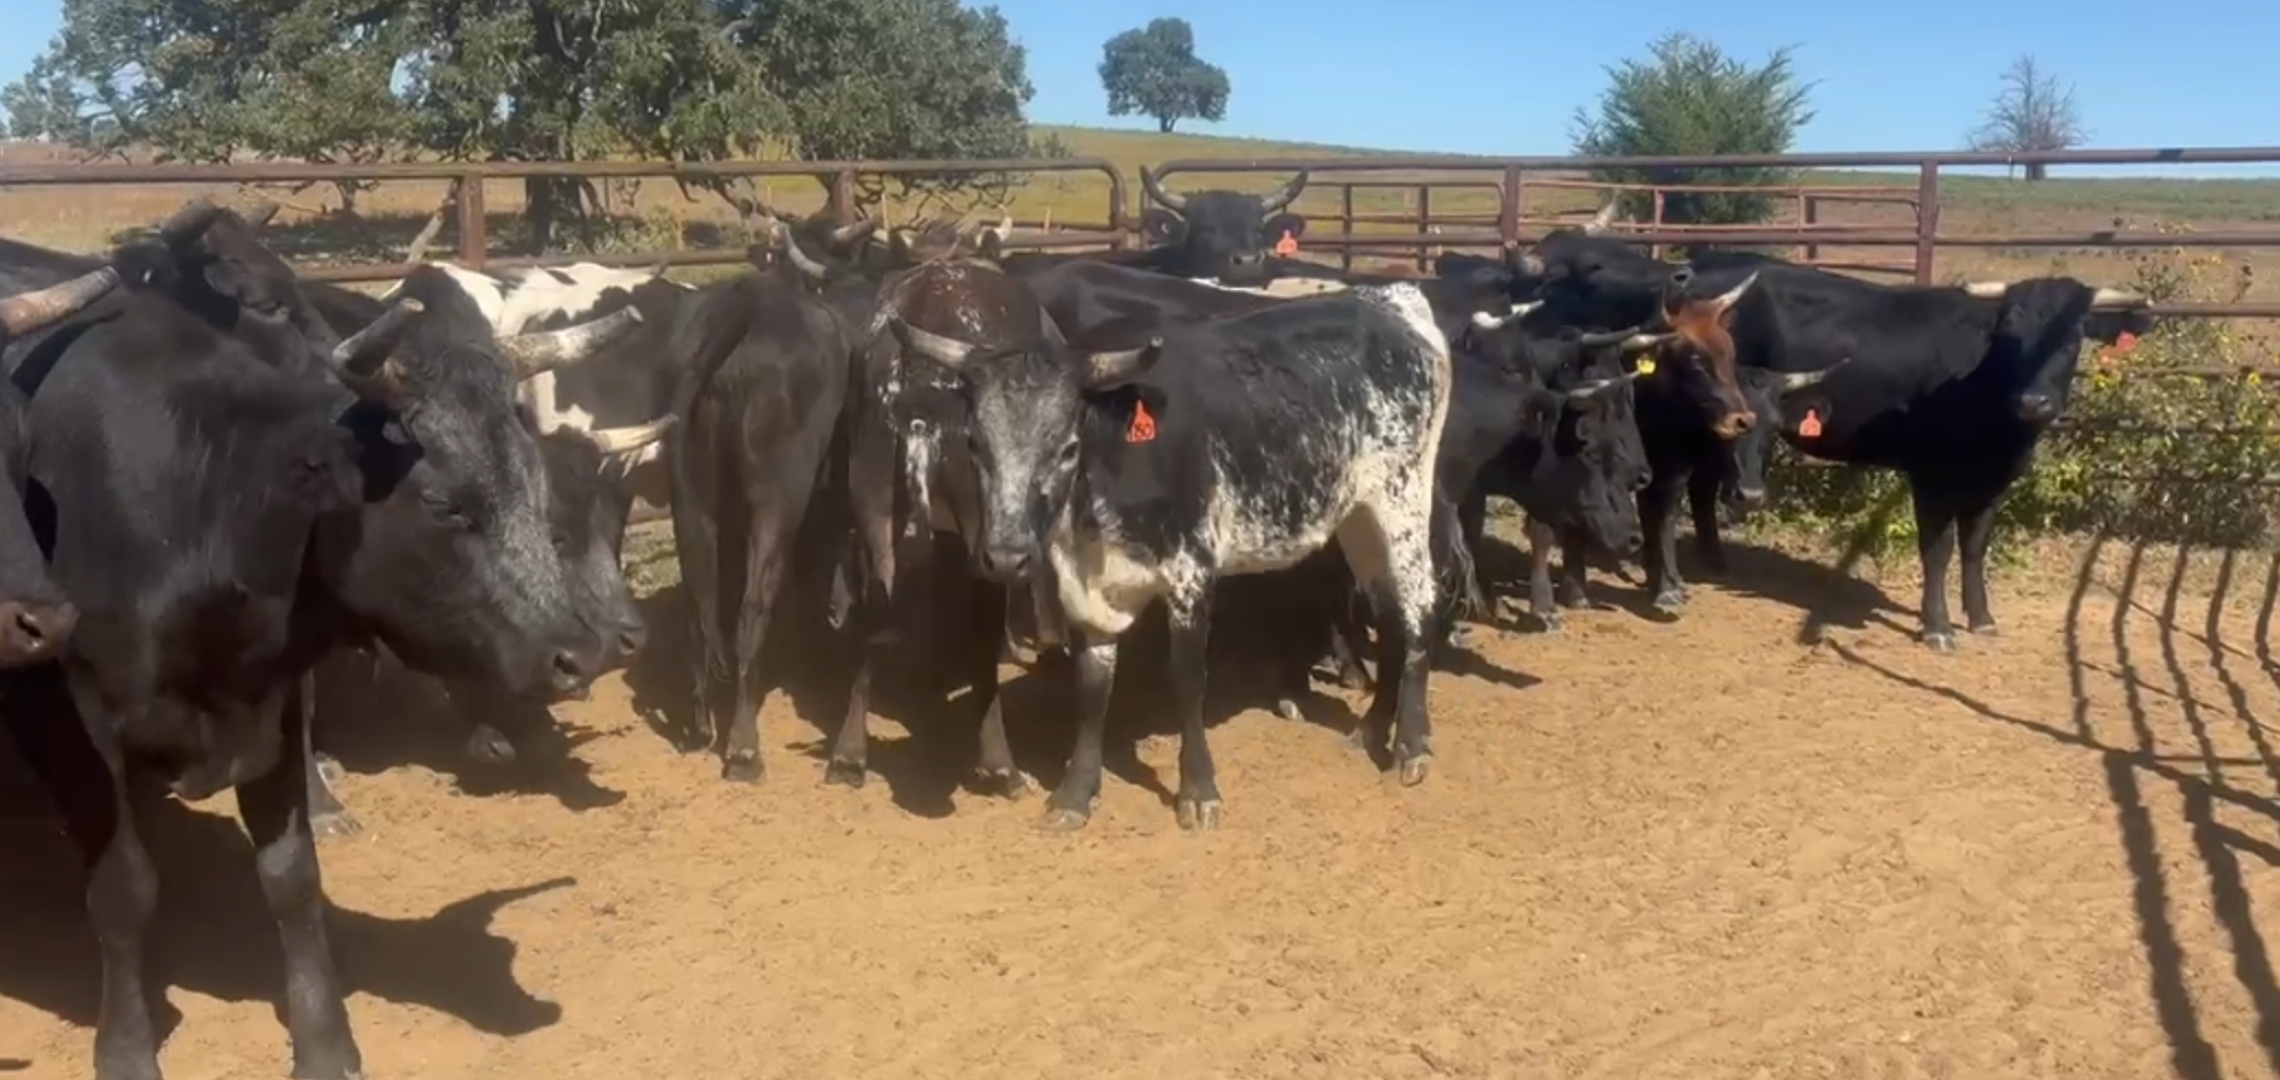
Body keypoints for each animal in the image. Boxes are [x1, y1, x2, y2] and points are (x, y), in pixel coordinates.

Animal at [2, 259, 641, 1080]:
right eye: (445, 504)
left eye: (536, 493)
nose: (579, 653)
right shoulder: (70, 726)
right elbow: (124, 889)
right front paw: (126, 1048)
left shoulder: (267, 708)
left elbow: (291, 880)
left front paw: (326, 1042)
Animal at [881, 281, 1455, 831]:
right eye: (975, 444)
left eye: (1067, 447)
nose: (1005, 556)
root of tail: (1392, 300)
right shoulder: (1084, 585)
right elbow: (1092, 687)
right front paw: (1075, 792)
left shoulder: (1191, 570)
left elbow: (1185, 678)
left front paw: (1198, 791)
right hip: (1359, 518)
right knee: (1390, 613)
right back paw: (1372, 730)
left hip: (1402, 501)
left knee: (1418, 608)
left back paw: (1412, 744)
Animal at [1518, 225, 2151, 649]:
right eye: (2011, 335)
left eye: (2071, 338)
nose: (2035, 403)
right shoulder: (1930, 479)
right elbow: (1940, 549)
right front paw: (1937, 626)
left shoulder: (1993, 483)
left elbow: (1975, 549)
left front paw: (1982, 618)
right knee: (1670, 496)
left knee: (1701, 487)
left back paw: (1714, 560)